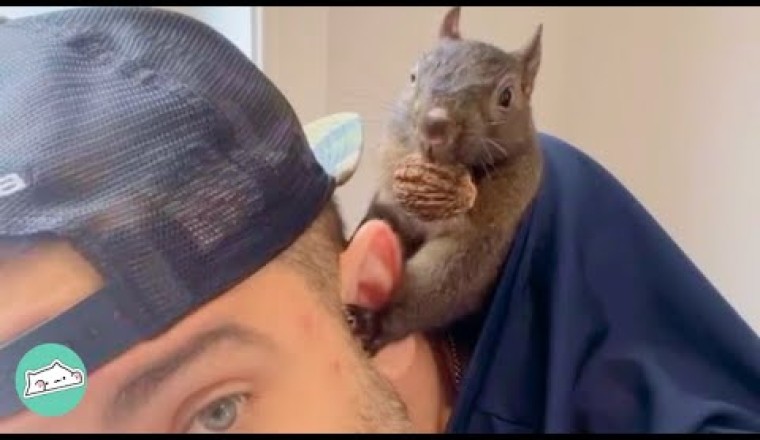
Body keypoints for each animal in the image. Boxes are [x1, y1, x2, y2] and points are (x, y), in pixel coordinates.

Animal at [346, 7, 545, 356]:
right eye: (413, 76)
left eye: (507, 96)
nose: (434, 124)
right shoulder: (390, 199)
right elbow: (376, 222)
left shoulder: (482, 239)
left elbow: (441, 288)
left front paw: (375, 321)